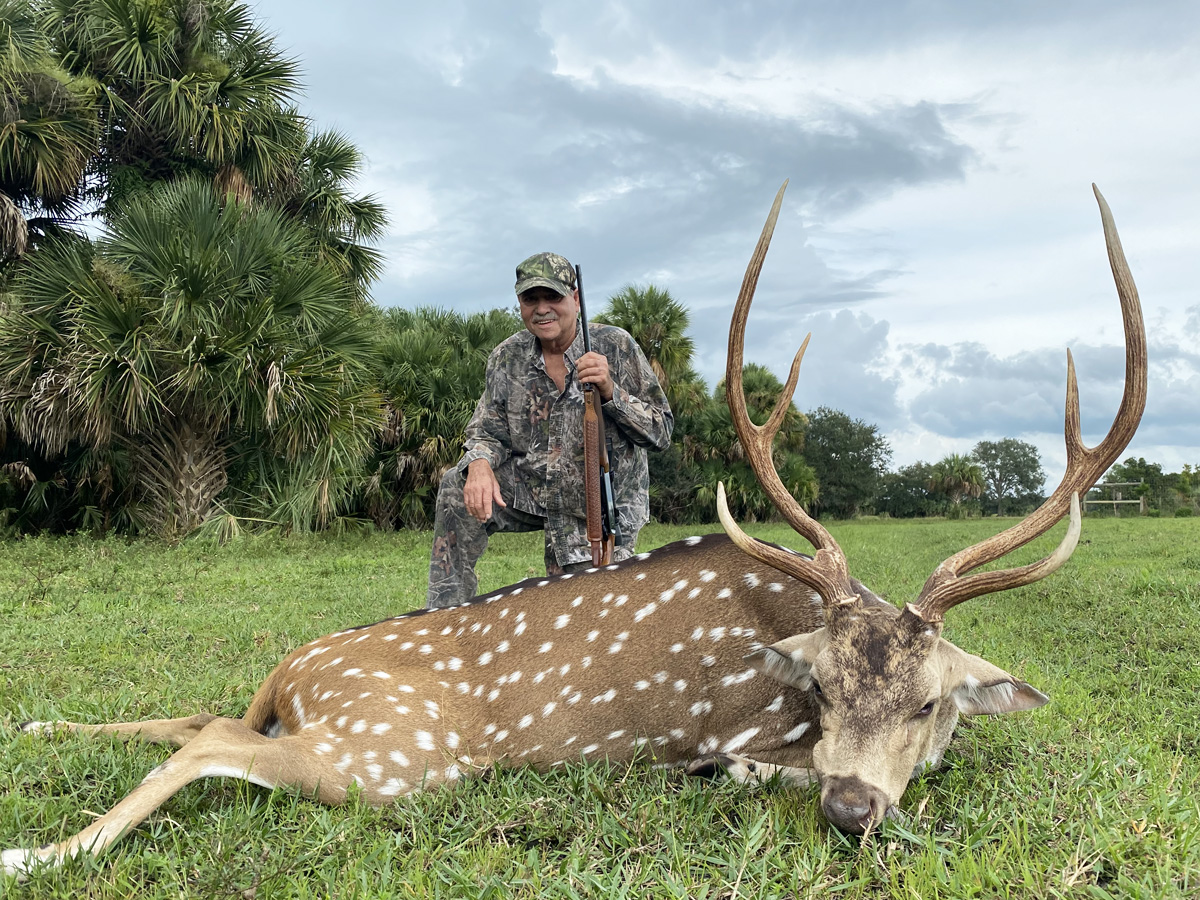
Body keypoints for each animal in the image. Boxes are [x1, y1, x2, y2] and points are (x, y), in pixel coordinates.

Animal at [2, 183, 1146, 878]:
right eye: (817, 688)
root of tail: (294, 668)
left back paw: (38, 727)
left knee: (198, 716)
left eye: (930, 700)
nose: (851, 810)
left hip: (326, 726)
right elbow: (744, 765)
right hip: (395, 749)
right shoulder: (747, 732)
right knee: (214, 739)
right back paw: (37, 856)